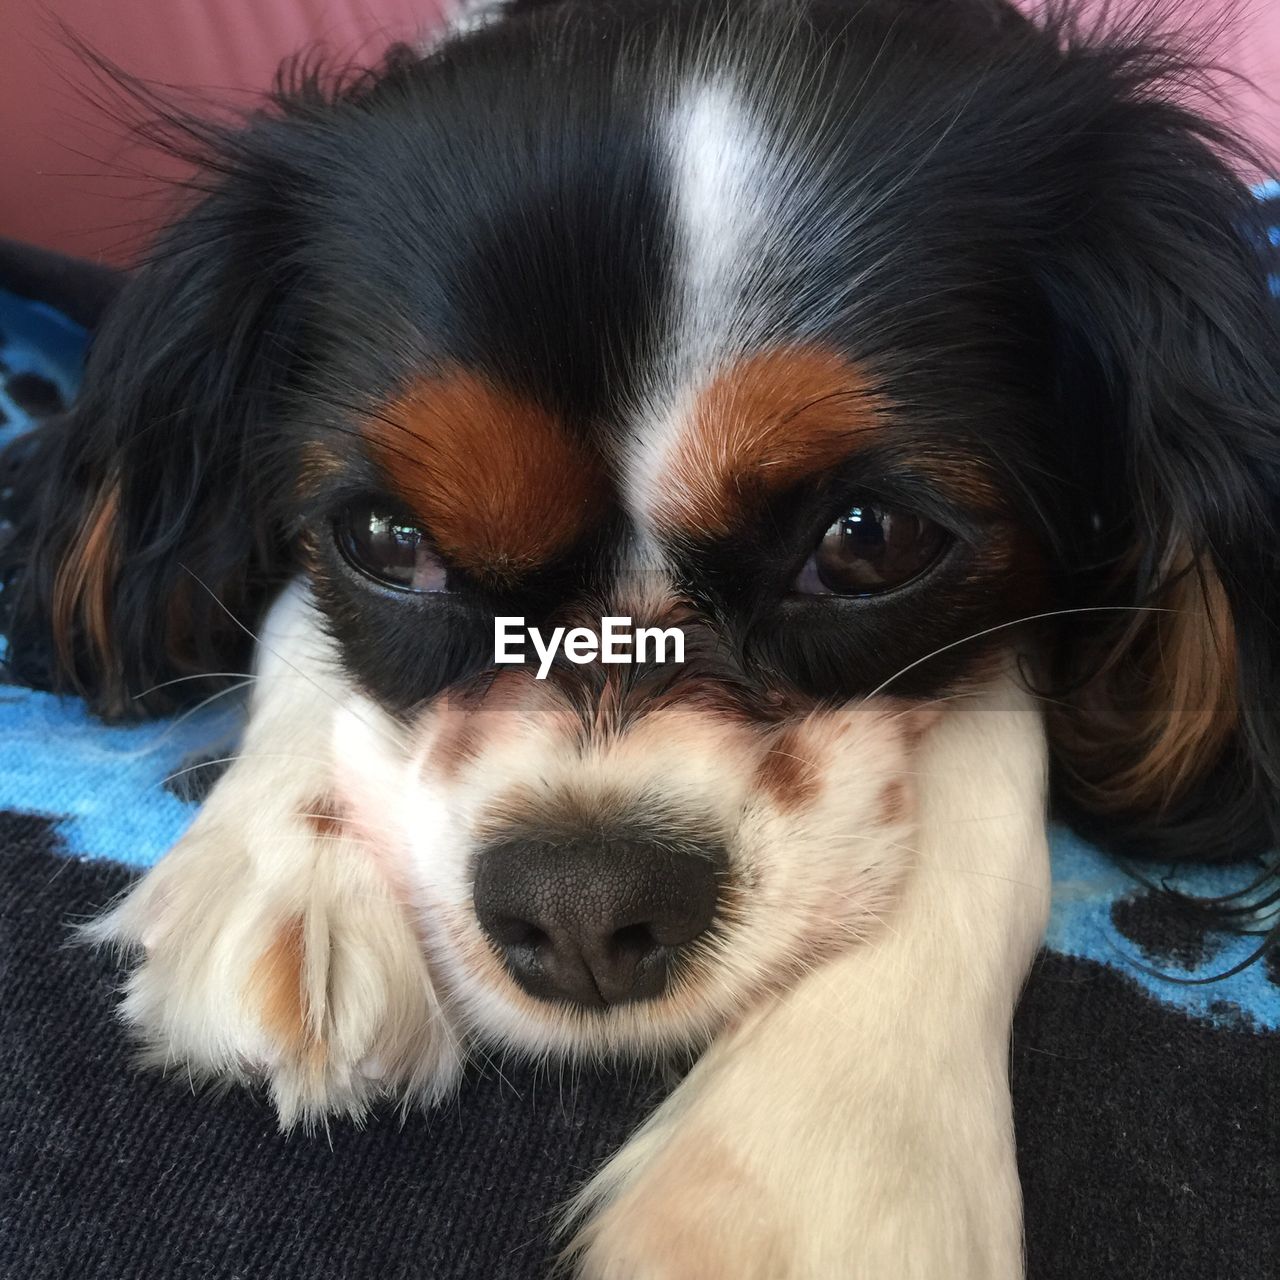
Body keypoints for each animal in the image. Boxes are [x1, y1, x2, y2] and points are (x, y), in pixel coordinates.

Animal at [2, 0, 1280, 1274]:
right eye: (388, 538)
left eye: (867, 539)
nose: (580, 907)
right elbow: (298, 624)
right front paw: (292, 862)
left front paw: (819, 1157)